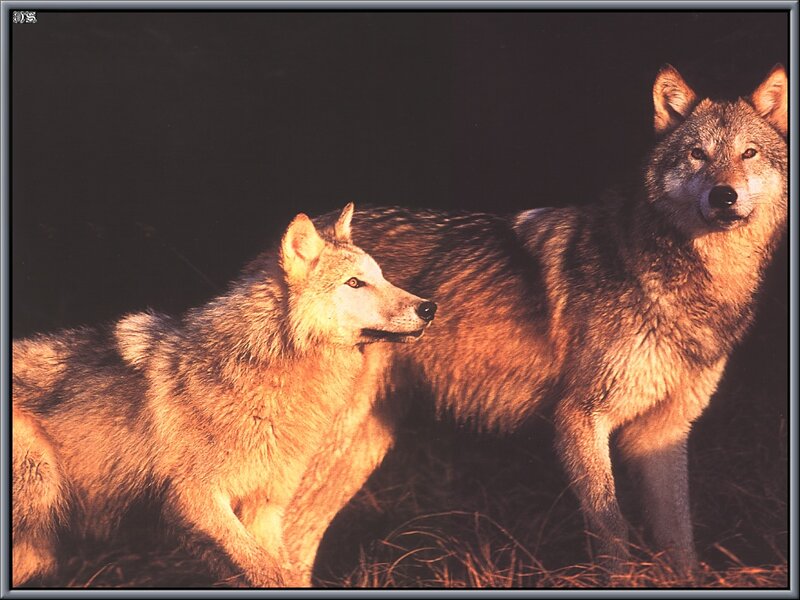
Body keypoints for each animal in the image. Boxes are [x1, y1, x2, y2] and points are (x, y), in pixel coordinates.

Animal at [11, 203, 437, 587]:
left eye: (381, 277)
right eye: (354, 283)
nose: (429, 307)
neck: (262, 374)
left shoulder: (265, 510)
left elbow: (278, 572)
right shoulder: (195, 499)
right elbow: (266, 573)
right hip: (38, 502)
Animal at [282, 65, 788, 582]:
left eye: (748, 153)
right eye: (697, 154)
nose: (723, 195)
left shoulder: (662, 433)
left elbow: (681, 539)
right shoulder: (579, 418)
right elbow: (613, 530)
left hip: (362, 448)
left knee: (297, 538)